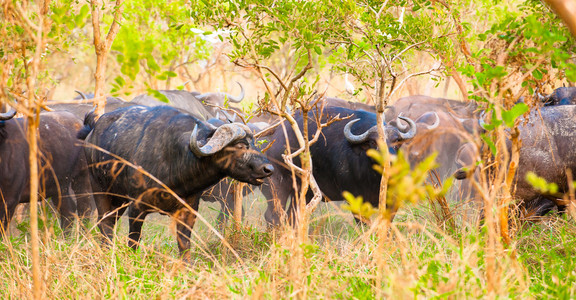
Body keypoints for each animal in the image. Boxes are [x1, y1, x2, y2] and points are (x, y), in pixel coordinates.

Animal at [79, 105, 274, 255]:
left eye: (255, 144)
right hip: (101, 190)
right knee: (105, 224)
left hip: (119, 199)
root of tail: (92, 130)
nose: (268, 169)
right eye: (240, 146)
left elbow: (184, 245)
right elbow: (133, 241)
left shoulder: (188, 211)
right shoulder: (137, 208)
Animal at [264, 105, 416, 225]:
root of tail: (276, 137)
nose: (390, 161)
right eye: (373, 142)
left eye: (396, 141)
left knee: (294, 215)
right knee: (274, 216)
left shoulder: (392, 200)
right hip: (277, 184)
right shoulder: (355, 200)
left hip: (304, 192)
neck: (374, 178)